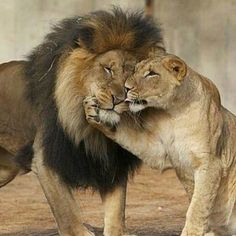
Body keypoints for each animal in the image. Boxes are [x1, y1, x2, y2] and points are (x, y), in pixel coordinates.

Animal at [0, 7, 164, 236]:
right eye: (107, 69)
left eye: (131, 75)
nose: (119, 99)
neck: (89, 130)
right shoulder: (46, 158)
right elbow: (66, 209)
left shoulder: (113, 161)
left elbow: (116, 209)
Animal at [84, 54, 236, 235]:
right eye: (136, 70)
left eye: (152, 74)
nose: (126, 88)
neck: (174, 113)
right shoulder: (159, 151)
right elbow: (126, 133)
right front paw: (94, 109)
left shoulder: (211, 163)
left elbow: (198, 206)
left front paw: (191, 232)